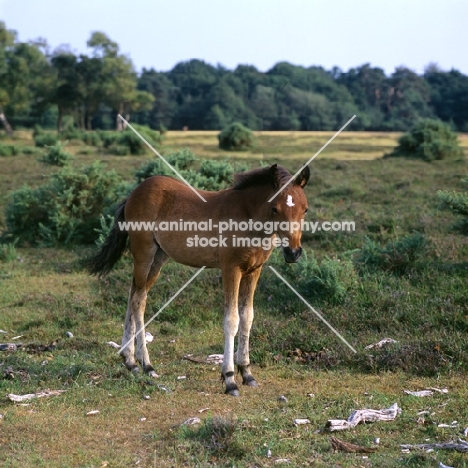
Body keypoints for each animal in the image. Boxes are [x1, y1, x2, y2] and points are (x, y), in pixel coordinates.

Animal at [90, 164, 310, 394]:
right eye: (275, 208)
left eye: (305, 209)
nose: (293, 253)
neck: (248, 216)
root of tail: (134, 192)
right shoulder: (231, 269)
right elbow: (232, 320)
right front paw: (230, 379)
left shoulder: (253, 271)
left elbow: (247, 317)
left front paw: (247, 373)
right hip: (144, 252)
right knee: (138, 301)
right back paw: (147, 365)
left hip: (158, 258)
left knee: (133, 293)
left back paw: (130, 360)